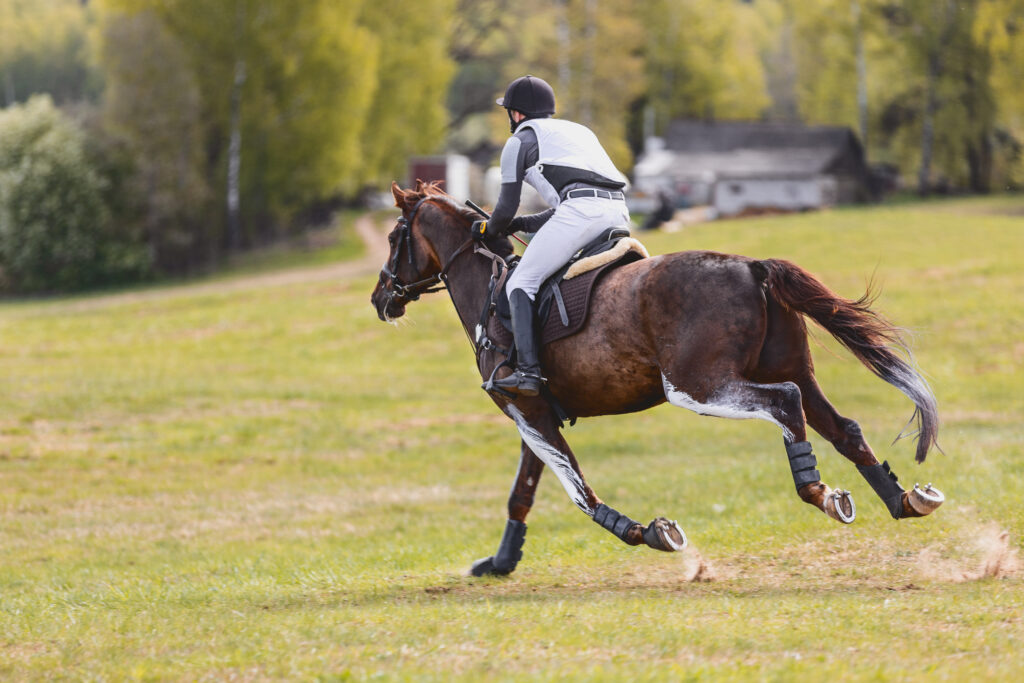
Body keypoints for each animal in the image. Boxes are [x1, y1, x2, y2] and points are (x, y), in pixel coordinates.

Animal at [370, 181, 945, 577]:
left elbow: (579, 492)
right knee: (841, 425)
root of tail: (753, 267)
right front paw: (500, 562)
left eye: (396, 236)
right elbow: (524, 491)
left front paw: (648, 532)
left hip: (695, 386)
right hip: (788, 368)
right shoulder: (531, 412)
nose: (380, 298)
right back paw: (902, 501)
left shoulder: (526, 410)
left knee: (784, 404)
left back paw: (817, 491)